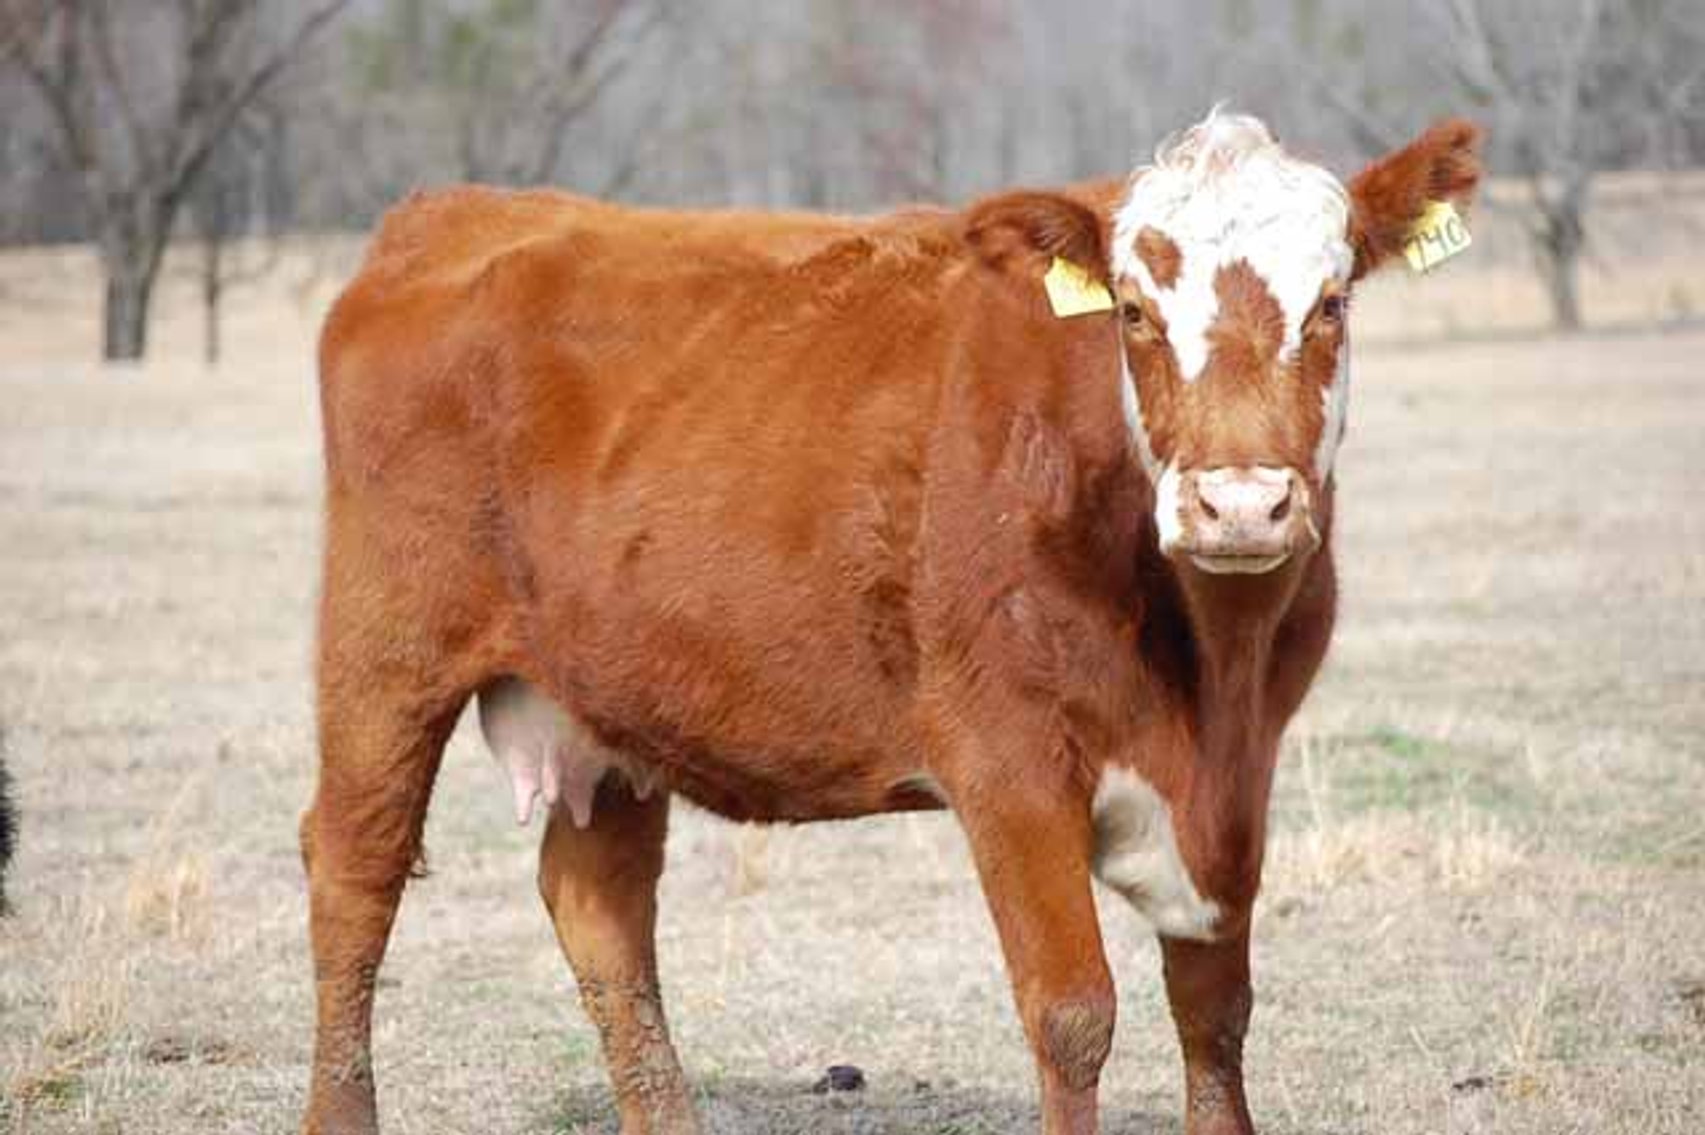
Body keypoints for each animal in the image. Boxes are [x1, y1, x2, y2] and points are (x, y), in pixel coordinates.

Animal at [301, 109, 1482, 1135]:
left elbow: (1216, 1014)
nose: (1237, 503)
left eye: (1331, 303)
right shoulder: (1007, 761)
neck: (1208, 668)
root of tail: (453, 210)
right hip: (383, 654)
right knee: (354, 874)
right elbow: (1072, 1014)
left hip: (608, 692)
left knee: (601, 909)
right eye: (1135, 312)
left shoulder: (1238, 783)